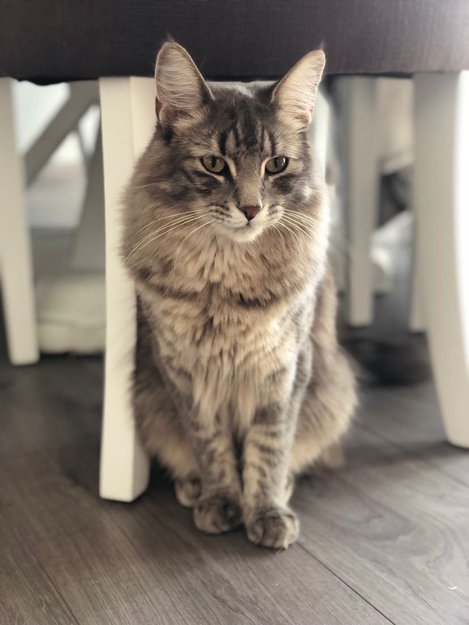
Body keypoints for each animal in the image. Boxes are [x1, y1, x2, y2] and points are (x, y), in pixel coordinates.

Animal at [122, 42, 357, 549]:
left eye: (276, 165)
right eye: (214, 164)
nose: (251, 209)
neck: (226, 280)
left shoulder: (284, 370)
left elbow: (269, 449)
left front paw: (265, 511)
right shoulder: (184, 374)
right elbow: (210, 447)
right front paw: (222, 500)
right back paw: (193, 487)